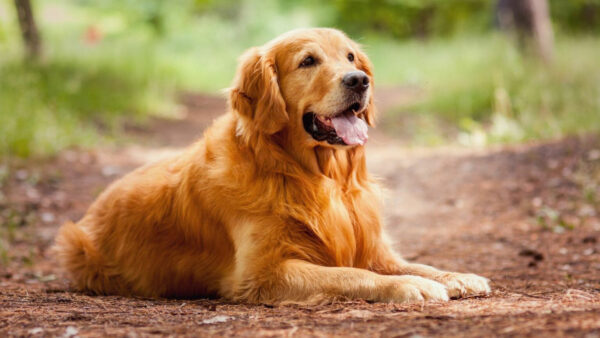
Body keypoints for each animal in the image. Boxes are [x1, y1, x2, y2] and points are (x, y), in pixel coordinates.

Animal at [54, 29, 490, 304]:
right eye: (308, 61)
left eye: (350, 56)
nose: (359, 80)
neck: (315, 176)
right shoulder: (263, 273)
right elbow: (351, 274)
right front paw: (408, 286)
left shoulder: (372, 245)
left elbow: (416, 263)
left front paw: (456, 276)